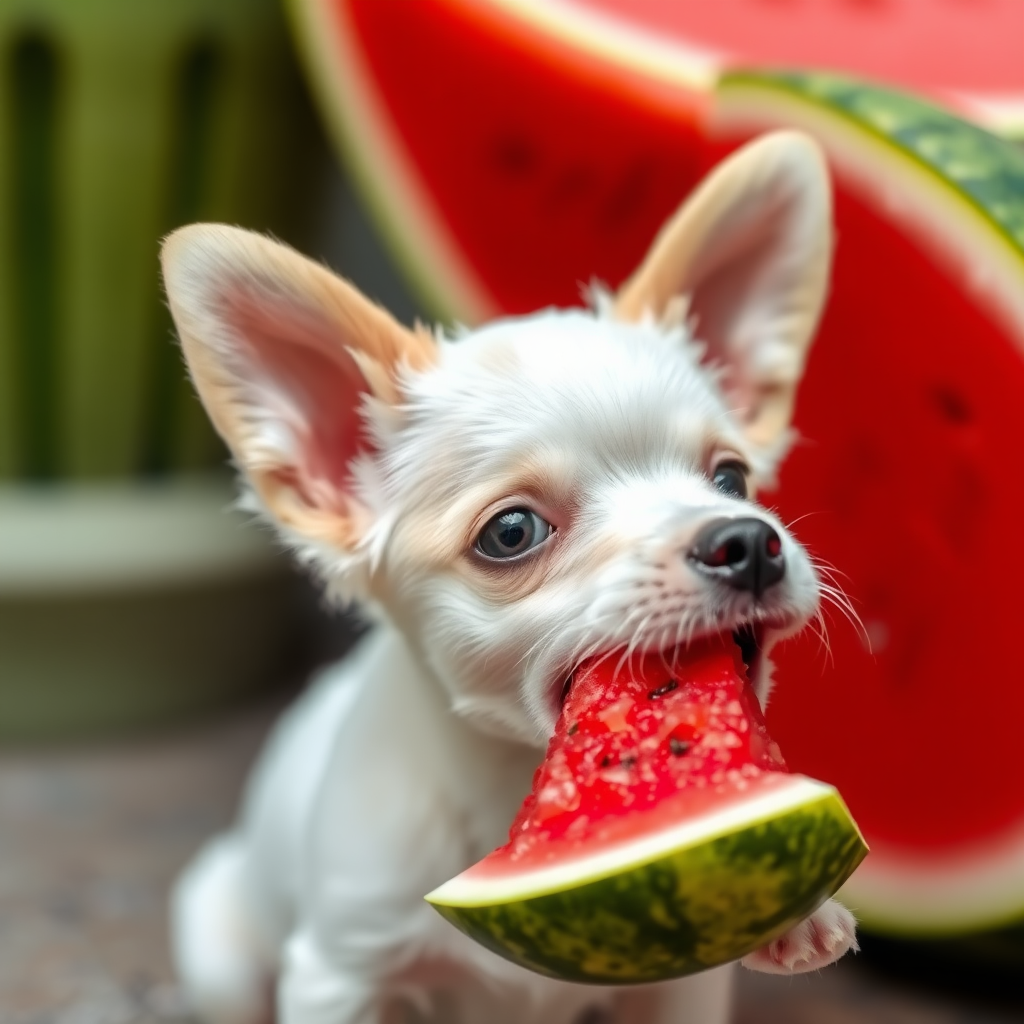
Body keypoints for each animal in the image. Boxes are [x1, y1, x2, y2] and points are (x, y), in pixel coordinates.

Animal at [163, 134, 860, 1024]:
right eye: (512, 533)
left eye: (732, 479)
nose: (746, 540)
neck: (511, 785)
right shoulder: (339, 972)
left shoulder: (679, 983)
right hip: (220, 949)